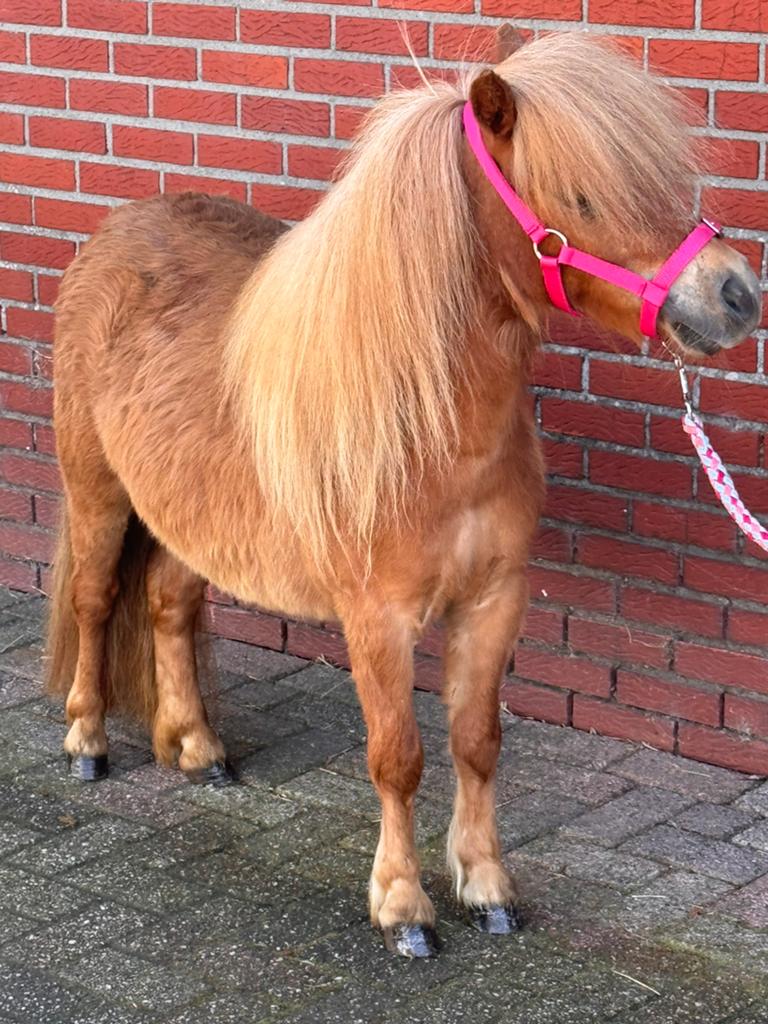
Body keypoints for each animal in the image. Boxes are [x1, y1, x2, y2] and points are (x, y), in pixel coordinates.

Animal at [46, 28, 760, 958]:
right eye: (581, 194)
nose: (736, 293)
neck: (431, 427)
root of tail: (112, 234)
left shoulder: (494, 599)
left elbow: (476, 741)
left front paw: (487, 886)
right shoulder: (376, 618)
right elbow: (399, 755)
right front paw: (403, 906)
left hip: (189, 520)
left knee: (167, 607)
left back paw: (200, 749)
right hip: (97, 492)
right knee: (96, 603)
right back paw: (87, 742)